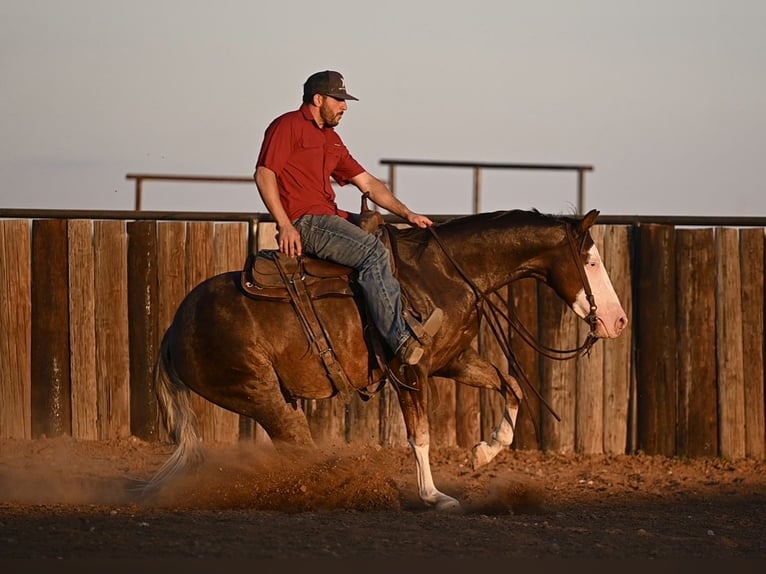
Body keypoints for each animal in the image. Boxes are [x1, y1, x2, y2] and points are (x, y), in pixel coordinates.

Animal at [141, 210, 628, 512]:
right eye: (591, 261)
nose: (618, 320)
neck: (443, 275)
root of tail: (175, 328)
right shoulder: (410, 371)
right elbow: (420, 435)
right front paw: (434, 496)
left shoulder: (452, 359)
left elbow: (511, 385)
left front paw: (484, 452)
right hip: (259, 396)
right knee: (295, 445)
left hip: (275, 397)